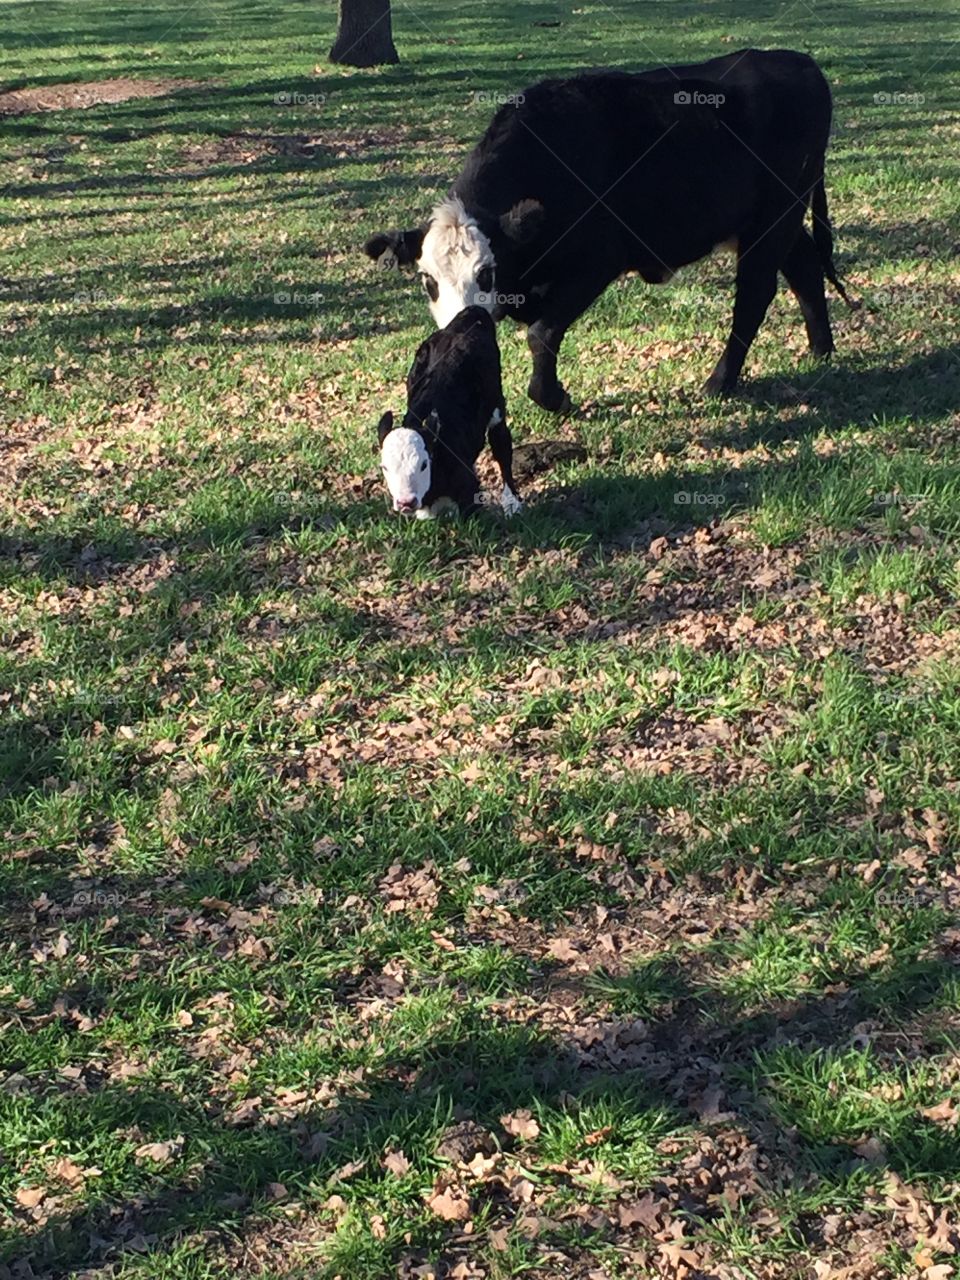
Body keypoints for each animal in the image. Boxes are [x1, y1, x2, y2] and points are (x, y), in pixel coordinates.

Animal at [364, 49, 852, 411]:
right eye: (427, 280)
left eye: (487, 273)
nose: (461, 327)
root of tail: (798, 62)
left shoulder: (598, 260)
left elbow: (541, 332)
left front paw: (554, 398)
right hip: (770, 220)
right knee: (805, 267)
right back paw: (821, 352)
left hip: (775, 217)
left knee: (754, 293)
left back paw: (720, 382)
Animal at [376, 305, 522, 519]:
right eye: (385, 467)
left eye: (423, 464)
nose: (406, 502)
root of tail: (469, 313)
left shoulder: (469, 490)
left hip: (496, 406)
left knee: (501, 446)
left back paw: (512, 503)